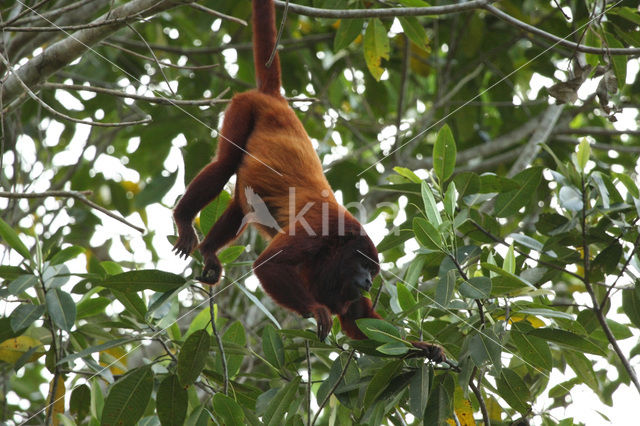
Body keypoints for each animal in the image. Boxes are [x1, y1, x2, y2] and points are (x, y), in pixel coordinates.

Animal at [171, 0, 380, 340]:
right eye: (363, 266)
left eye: (373, 271)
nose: (370, 282)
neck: (341, 243)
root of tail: (277, 100)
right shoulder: (319, 227)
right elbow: (267, 265)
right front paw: (317, 310)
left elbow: (357, 318)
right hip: (244, 106)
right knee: (225, 164)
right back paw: (183, 220)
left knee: (243, 203)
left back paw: (209, 251)